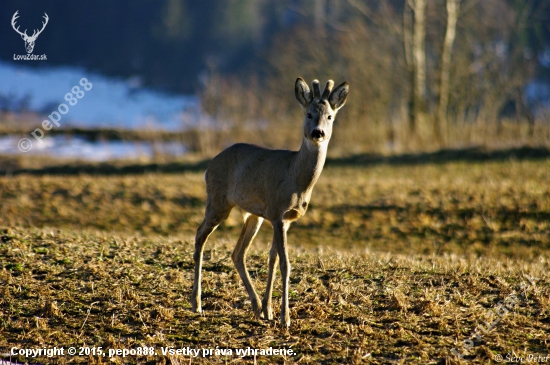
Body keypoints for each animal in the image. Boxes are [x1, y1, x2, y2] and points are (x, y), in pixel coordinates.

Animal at [192, 77, 352, 328]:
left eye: (329, 116)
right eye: (308, 114)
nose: (318, 133)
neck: (296, 178)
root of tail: (209, 166)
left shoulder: (286, 220)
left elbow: (273, 259)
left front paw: (269, 310)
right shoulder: (277, 212)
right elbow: (285, 264)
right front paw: (285, 318)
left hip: (253, 214)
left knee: (237, 253)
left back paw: (257, 306)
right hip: (217, 200)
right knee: (200, 235)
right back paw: (197, 304)